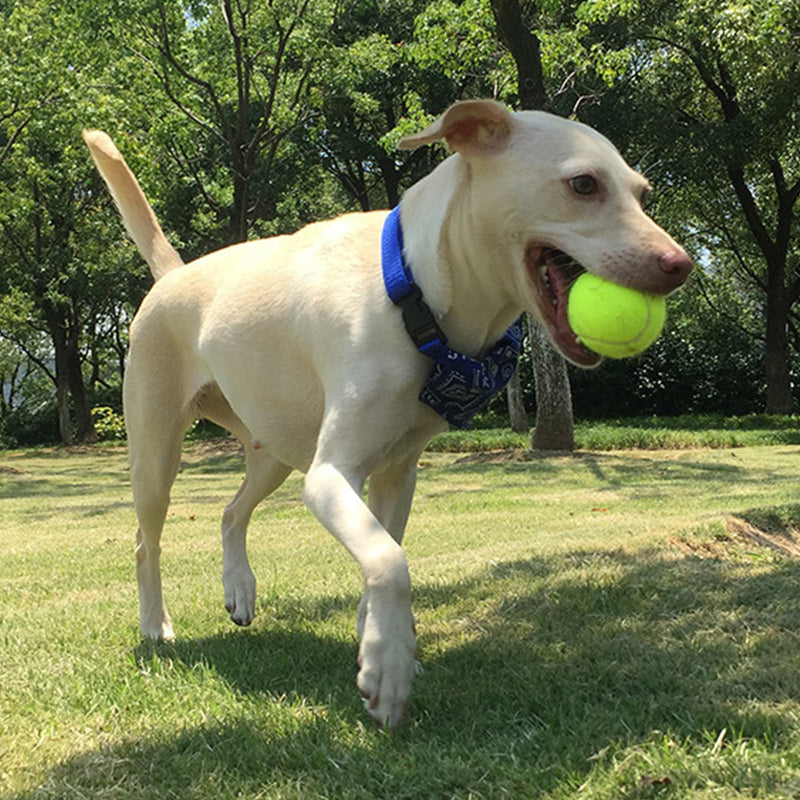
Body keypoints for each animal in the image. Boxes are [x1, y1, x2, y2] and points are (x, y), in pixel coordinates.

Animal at [83, 100, 692, 732]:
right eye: (583, 184)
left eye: (643, 193)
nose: (682, 265)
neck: (413, 291)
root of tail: (174, 274)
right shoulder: (332, 475)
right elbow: (389, 559)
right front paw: (390, 671)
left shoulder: (398, 472)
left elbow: (381, 554)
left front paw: (375, 643)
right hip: (159, 450)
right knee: (145, 541)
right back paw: (156, 625)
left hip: (274, 450)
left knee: (231, 512)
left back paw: (240, 590)